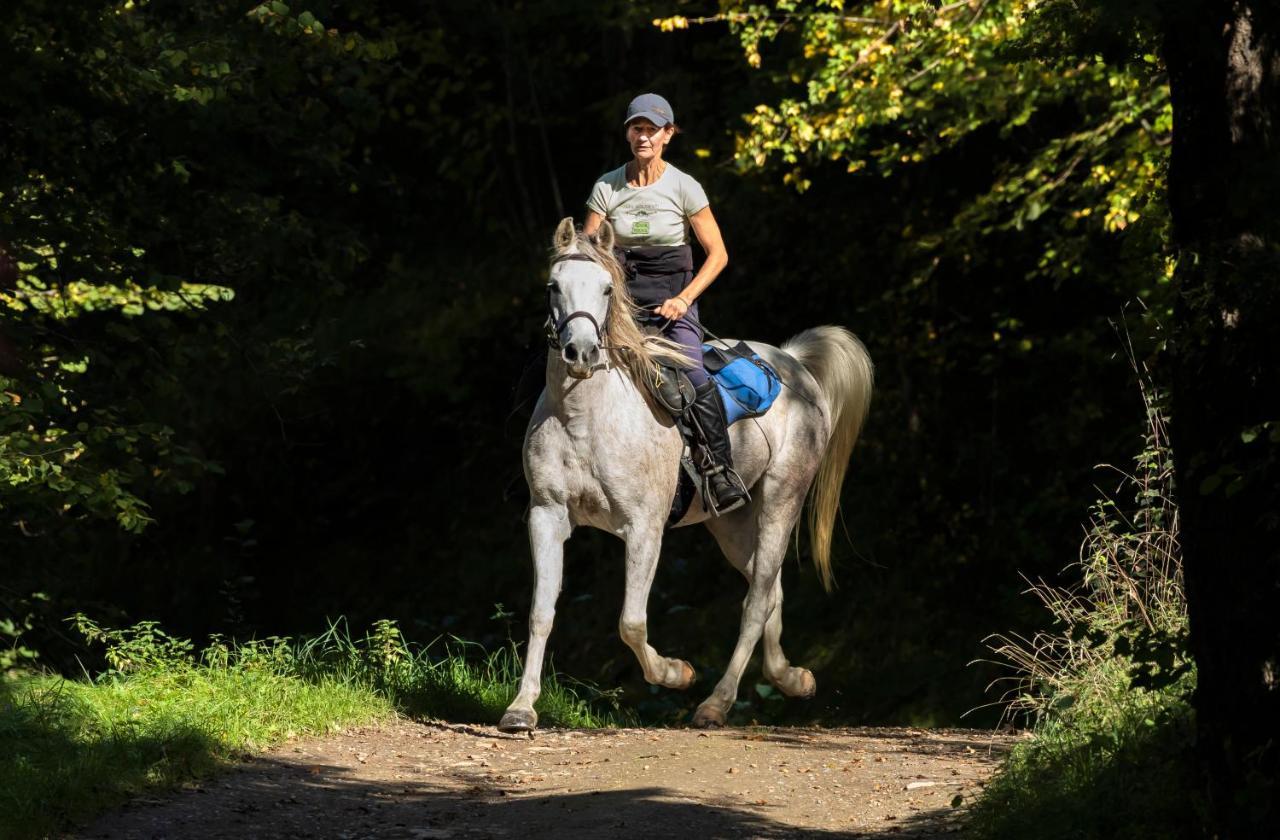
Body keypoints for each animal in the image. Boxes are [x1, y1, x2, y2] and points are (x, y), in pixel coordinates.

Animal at [496, 220, 870, 732]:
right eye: (553, 286)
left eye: (608, 289)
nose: (581, 353)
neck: (585, 418)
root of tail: (791, 363)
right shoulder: (547, 516)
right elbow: (540, 612)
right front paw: (520, 708)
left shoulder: (643, 529)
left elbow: (631, 622)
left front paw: (676, 673)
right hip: (731, 522)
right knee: (769, 588)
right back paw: (793, 679)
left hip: (782, 499)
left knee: (756, 601)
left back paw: (716, 703)